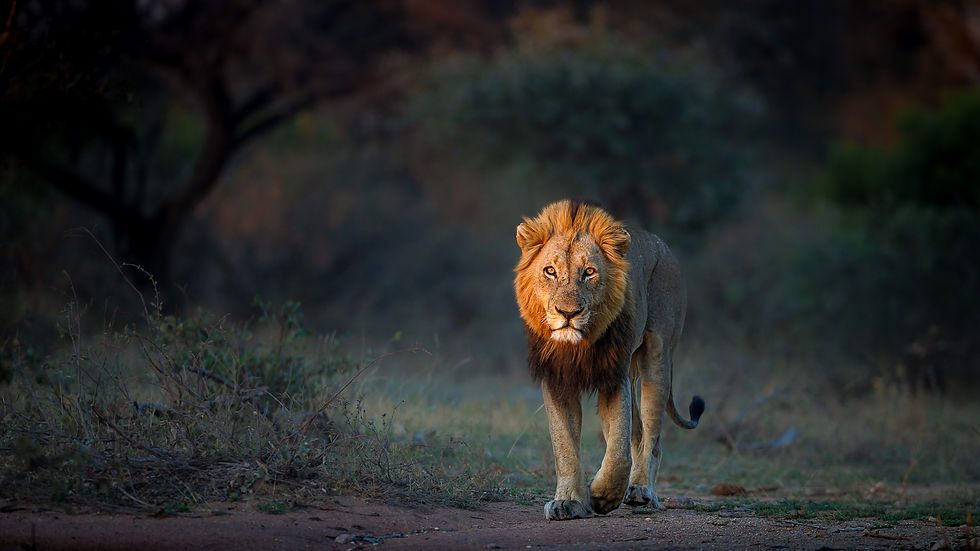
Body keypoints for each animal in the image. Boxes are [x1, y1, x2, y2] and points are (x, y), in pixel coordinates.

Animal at [514, 199, 705, 520]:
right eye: (550, 271)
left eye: (589, 272)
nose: (568, 313)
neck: (578, 346)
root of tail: (662, 245)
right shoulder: (557, 380)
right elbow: (565, 446)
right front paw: (568, 502)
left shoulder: (613, 378)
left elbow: (618, 452)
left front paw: (601, 496)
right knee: (638, 433)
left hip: (657, 359)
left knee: (651, 437)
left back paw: (641, 490)